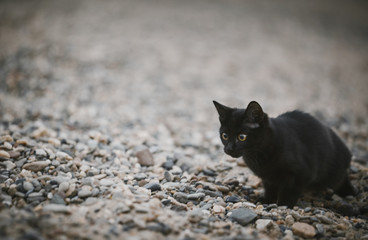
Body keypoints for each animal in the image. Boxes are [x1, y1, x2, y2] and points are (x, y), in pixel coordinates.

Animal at [214, 100, 356, 207]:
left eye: (242, 137)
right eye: (225, 135)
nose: (229, 149)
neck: (258, 155)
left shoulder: (301, 174)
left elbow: (289, 191)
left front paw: (283, 205)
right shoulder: (267, 177)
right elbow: (270, 188)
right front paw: (266, 200)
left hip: (332, 175)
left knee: (341, 180)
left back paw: (350, 192)